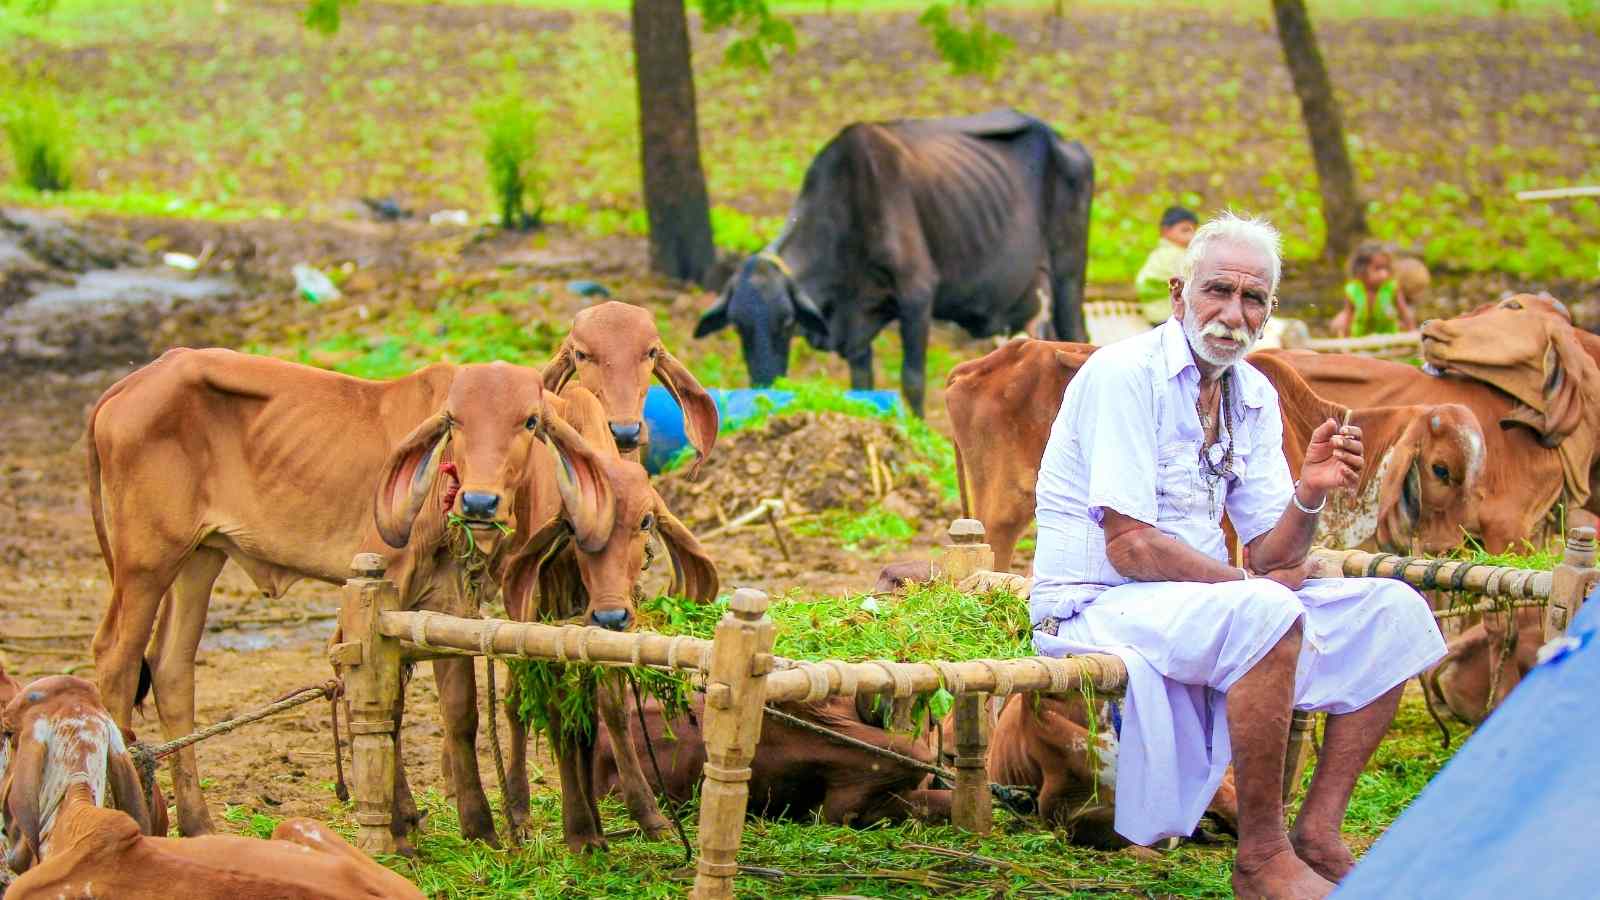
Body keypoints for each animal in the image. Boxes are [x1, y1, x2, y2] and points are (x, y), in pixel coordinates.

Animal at [694, 108, 1094, 413]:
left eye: (788, 321)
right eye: (737, 325)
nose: (764, 384)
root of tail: (1063, 140)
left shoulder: (917, 296)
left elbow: (912, 380)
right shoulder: (856, 324)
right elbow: (862, 384)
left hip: (1068, 275)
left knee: (1079, 337)